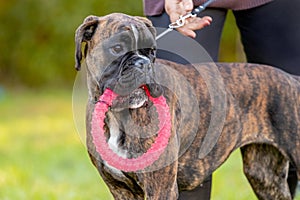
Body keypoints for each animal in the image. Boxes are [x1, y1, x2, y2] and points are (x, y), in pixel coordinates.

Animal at [74, 13, 298, 199]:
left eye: (151, 51)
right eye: (117, 48)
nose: (143, 63)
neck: (118, 115)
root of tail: (292, 79)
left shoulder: (160, 188)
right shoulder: (120, 189)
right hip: (264, 177)